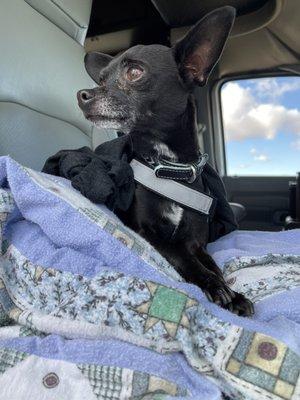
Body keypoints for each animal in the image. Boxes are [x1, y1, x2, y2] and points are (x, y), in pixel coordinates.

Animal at [77, 7, 253, 316]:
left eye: (135, 72)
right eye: (102, 79)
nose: (82, 95)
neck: (171, 169)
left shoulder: (197, 241)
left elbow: (213, 265)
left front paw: (232, 292)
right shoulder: (148, 233)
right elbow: (183, 256)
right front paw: (217, 288)